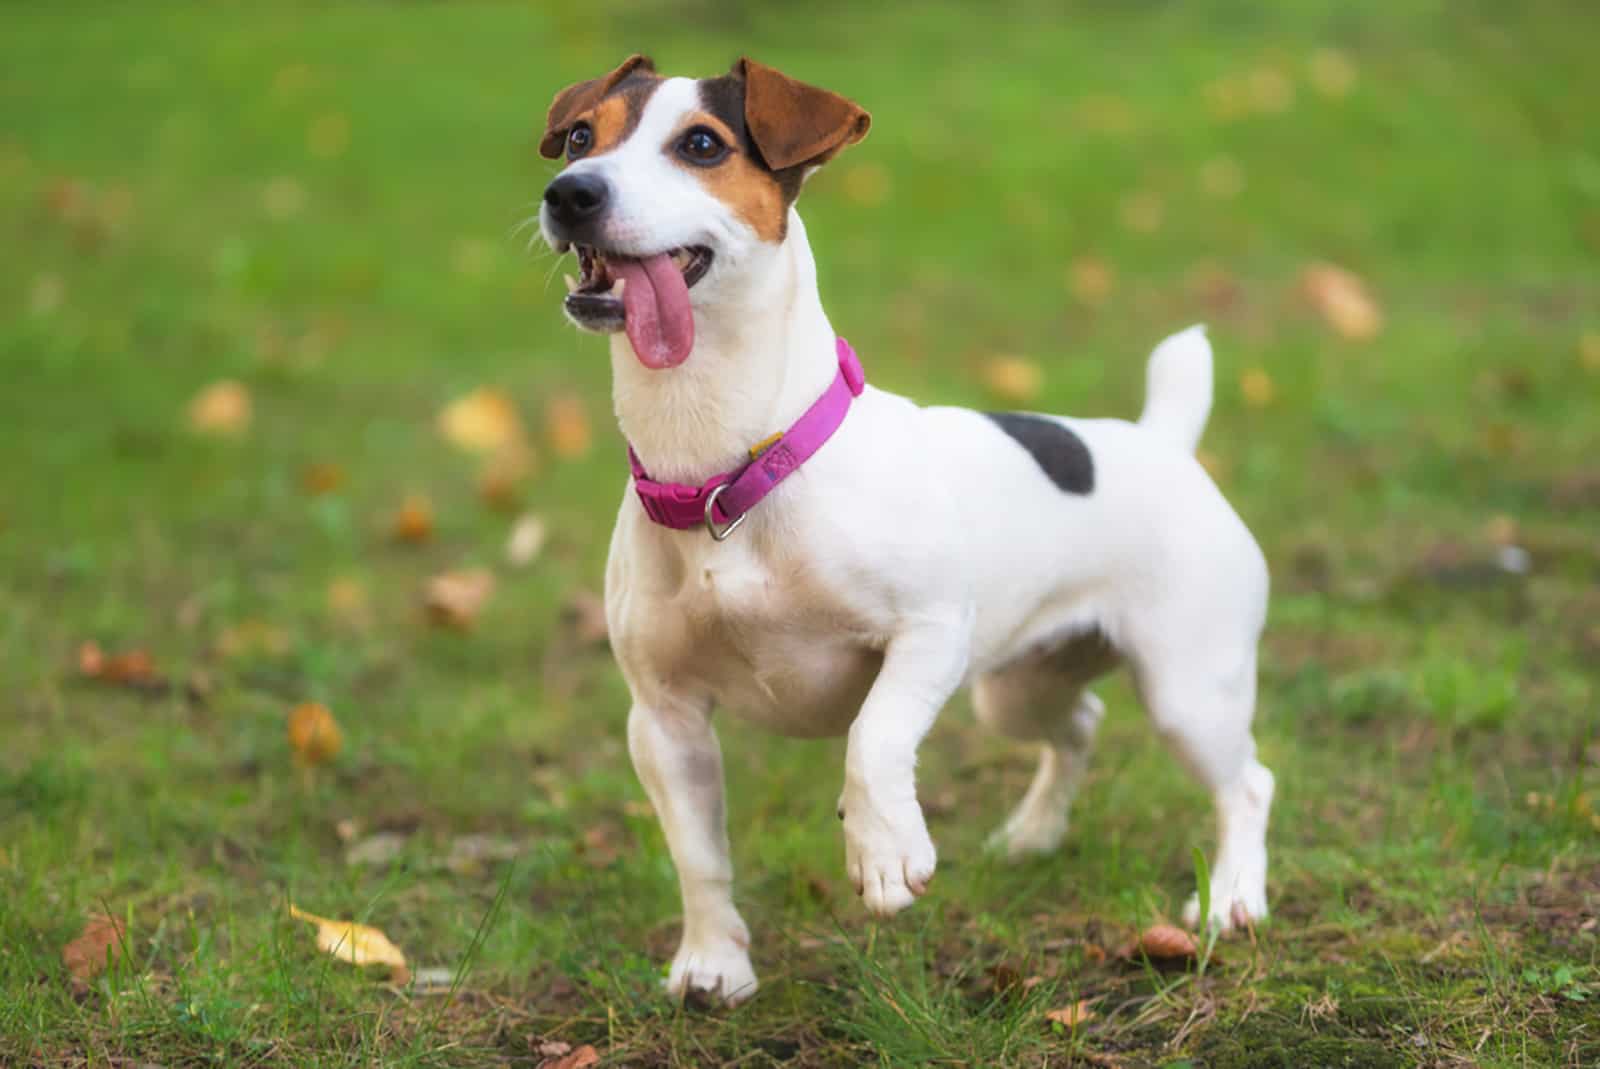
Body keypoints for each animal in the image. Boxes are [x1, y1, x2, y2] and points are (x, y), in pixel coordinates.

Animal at [537, 54, 1273, 1004]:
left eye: (701, 144)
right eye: (579, 136)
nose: (569, 193)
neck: (730, 472)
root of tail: (1162, 440)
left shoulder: (929, 631)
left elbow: (874, 732)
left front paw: (885, 850)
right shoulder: (663, 717)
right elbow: (698, 852)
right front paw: (713, 961)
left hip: (1190, 689)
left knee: (1247, 784)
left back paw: (1233, 898)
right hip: (1019, 686)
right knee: (1079, 724)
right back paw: (1033, 833)